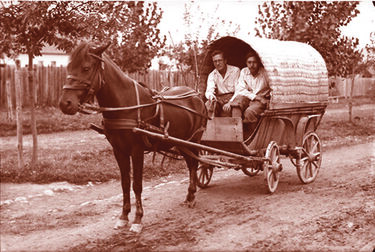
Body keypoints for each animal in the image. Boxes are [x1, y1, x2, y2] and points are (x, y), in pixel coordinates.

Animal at [58, 42, 209, 232]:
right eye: (69, 67)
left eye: (86, 68)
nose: (65, 104)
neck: (125, 105)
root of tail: (196, 95)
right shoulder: (119, 151)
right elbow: (124, 184)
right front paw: (123, 216)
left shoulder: (136, 150)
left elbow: (137, 185)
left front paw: (138, 219)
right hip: (183, 144)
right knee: (192, 165)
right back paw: (190, 195)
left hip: (193, 141)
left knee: (194, 165)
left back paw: (192, 196)